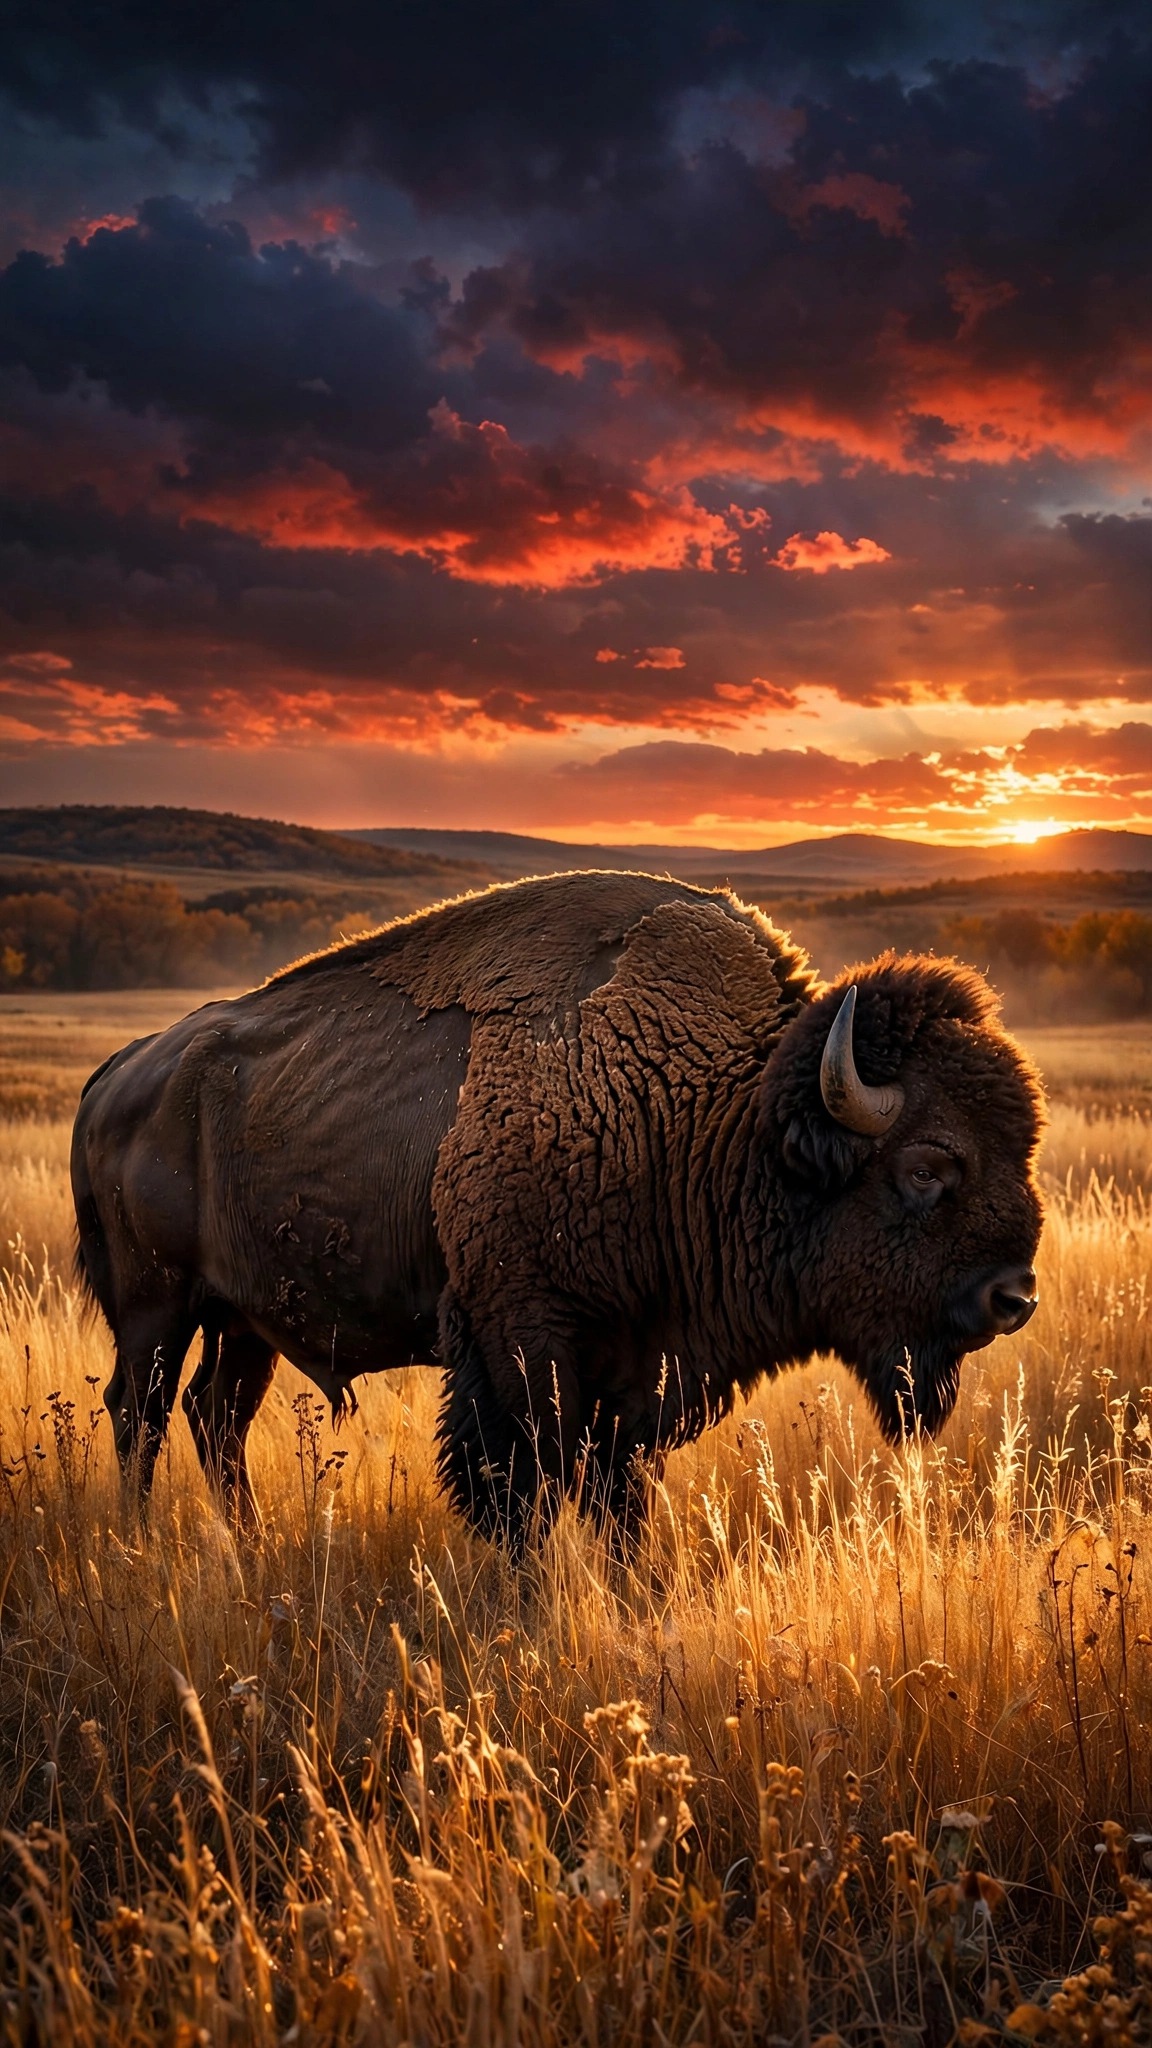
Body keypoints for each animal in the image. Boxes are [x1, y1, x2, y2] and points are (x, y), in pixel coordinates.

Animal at [72, 870, 1043, 1543]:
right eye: (928, 1165)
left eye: (1021, 1150)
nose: (1014, 1297)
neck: (708, 1115)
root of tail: (118, 1073)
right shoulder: (520, 1345)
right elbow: (523, 1495)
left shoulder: (633, 1377)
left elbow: (621, 1506)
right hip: (156, 1307)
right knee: (138, 1413)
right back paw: (142, 1544)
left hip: (247, 1321)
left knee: (214, 1419)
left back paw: (247, 1545)